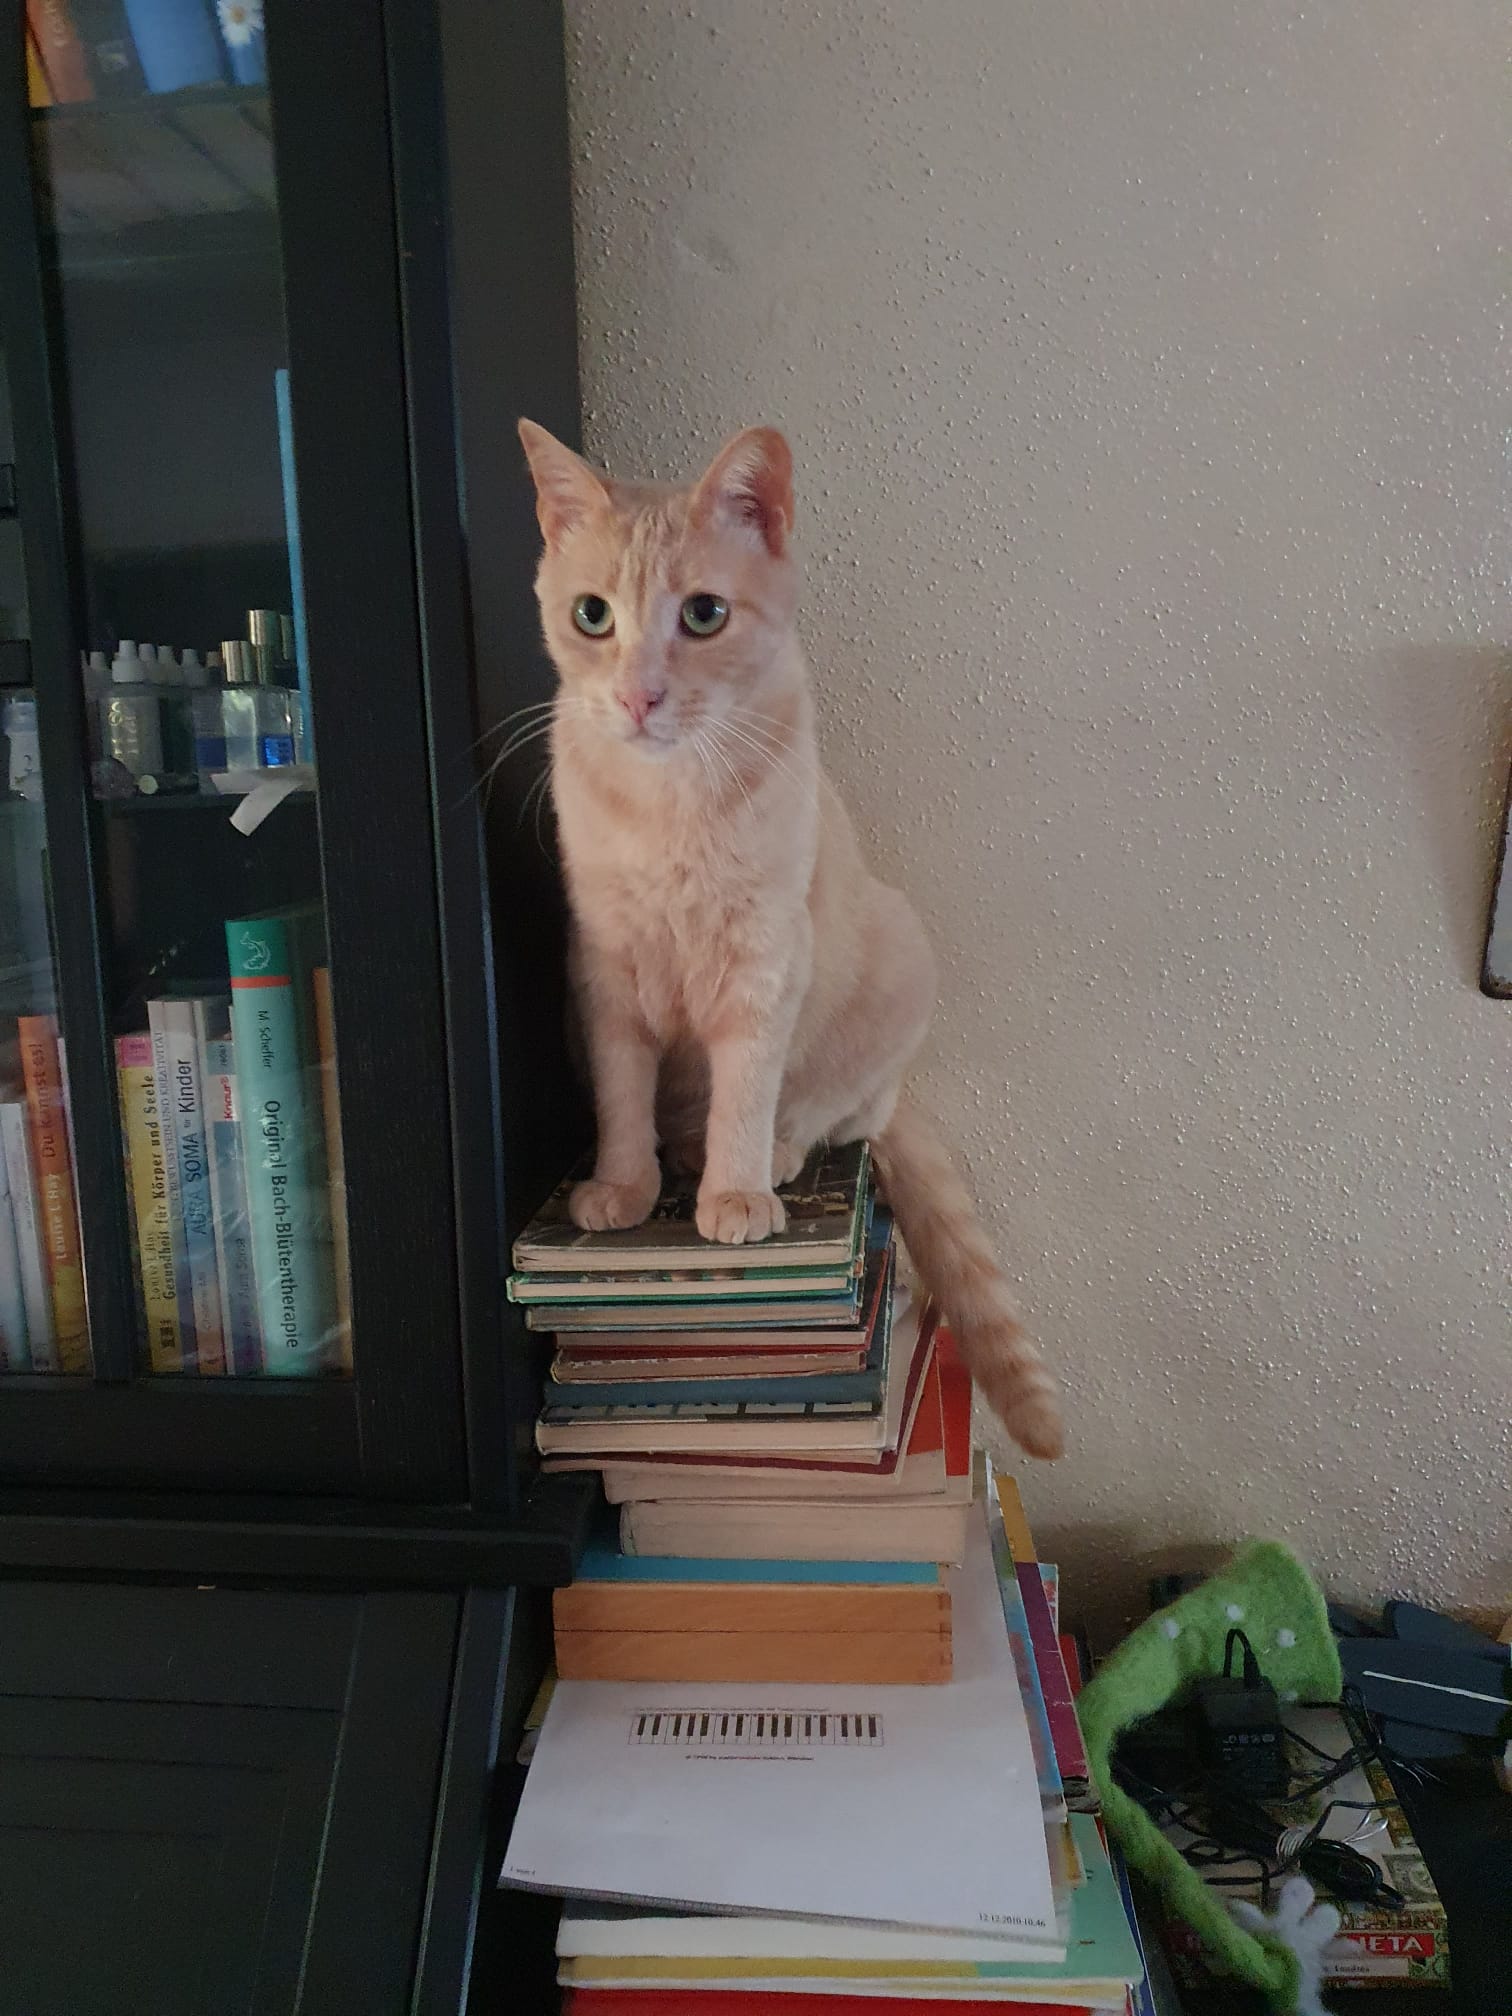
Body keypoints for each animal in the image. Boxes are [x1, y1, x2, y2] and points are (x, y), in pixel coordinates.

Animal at [517, 419, 1064, 1460]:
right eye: (592, 615)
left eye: (702, 615)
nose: (640, 697)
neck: (669, 803)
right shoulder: (603, 971)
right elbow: (620, 1096)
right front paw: (623, 1183)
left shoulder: (762, 965)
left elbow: (745, 1091)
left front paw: (732, 1190)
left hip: (896, 964)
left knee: (839, 1110)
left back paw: (765, 1155)